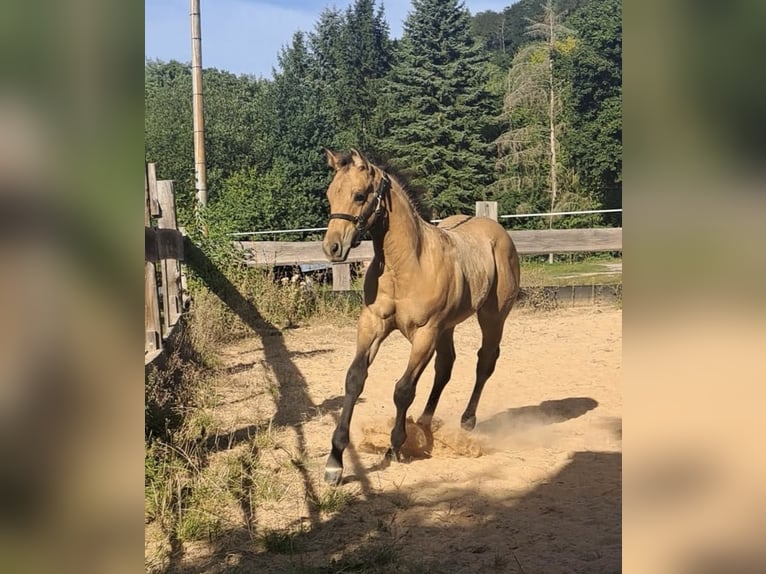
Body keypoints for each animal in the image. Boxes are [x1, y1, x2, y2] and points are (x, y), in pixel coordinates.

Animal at [321, 149, 520, 485]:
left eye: (359, 195)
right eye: (330, 195)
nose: (332, 248)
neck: (405, 265)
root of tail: (497, 232)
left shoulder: (425, 332)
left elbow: (403, 390)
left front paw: (395, 446)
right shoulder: (372, 323)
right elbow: (354, 379)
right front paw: (335, 462)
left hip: (492, 317)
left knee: (485, 362)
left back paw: (467, 421)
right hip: (448, 327)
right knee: (445, 366)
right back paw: (426, 423)